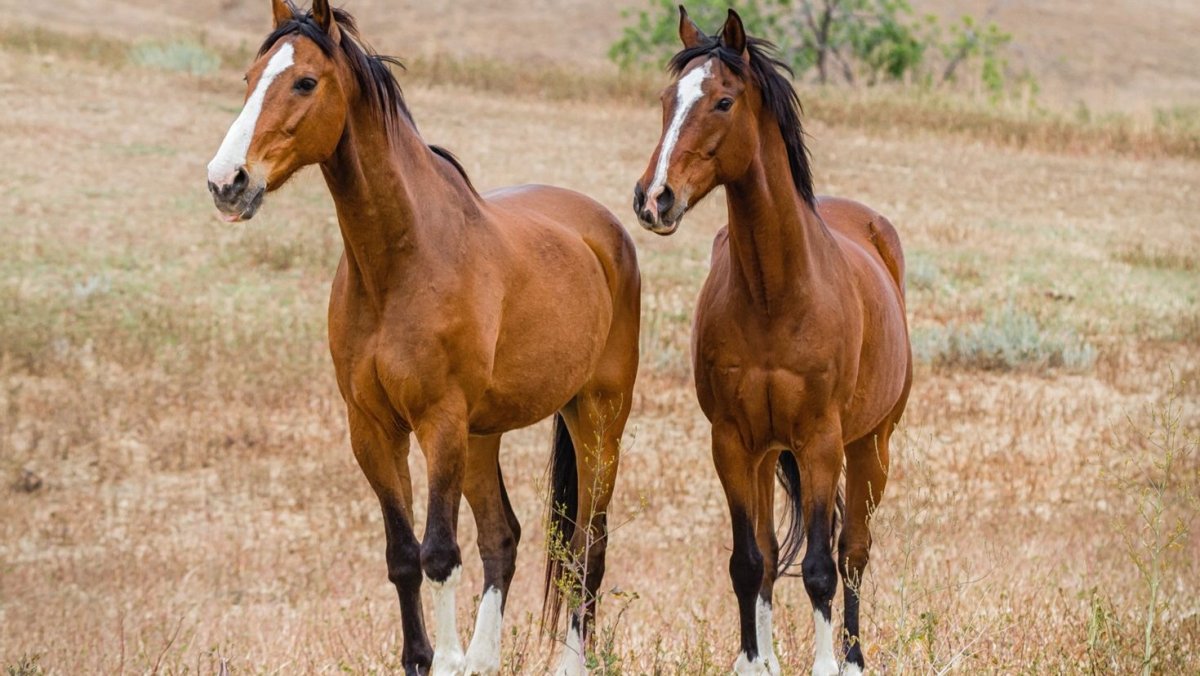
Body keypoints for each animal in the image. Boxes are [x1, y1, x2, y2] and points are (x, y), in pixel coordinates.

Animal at [205, 2, 640, 674]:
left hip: (596, 417)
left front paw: (449, 660)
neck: (403, 261)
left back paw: (569, 661)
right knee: (503, 537)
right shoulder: (372, 429)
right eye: (250, 79)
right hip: (484, 435)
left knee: (587, 541)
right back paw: (487, 659)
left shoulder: (439, 422)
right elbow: (404, 556)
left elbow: (438, 554)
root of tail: (607, 231)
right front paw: (424, 657)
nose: (227, 181)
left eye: (304, 82)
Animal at [632, 8, 912, 676]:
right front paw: (752, 661)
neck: (774, 295)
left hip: (871, 446)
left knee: (853, 552)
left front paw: (827, 665)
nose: (654, 199)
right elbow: (748, 563)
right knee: (765, 555)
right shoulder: (733, 442)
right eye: (666, 101)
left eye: (723, 101)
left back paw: (854, 657)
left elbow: (819, 570)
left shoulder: (820, 444)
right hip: (766, 456)